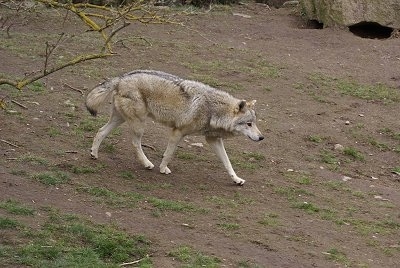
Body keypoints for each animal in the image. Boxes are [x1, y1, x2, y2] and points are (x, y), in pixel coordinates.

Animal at [86, 70, 264, 185]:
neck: (212, 110)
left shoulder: (213, 140)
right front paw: (163, 168)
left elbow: (228, 163)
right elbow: (169, 153)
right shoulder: (178, 132)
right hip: (139, 124)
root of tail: (120, 78)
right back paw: (147, 163)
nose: (262, 137)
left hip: (120, 120)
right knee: (135, 143)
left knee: (100, 132)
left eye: (255, 123)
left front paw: (236, 179)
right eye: (249, 124)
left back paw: (94, 154)